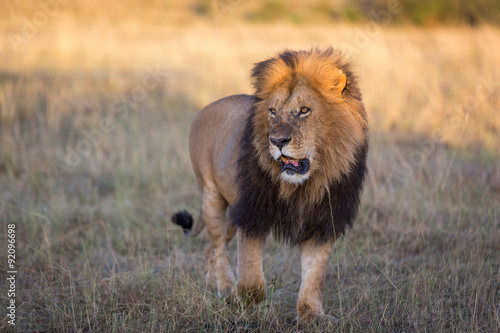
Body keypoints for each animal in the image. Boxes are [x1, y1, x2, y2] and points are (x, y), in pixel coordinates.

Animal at [172, 47, 368, 322]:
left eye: (304, 110)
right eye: (273, 111)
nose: (277, 141)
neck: (303, 185)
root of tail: (205, 108)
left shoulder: (323, 220)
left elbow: (314, 273)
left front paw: (312, 315)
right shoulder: (252, 212)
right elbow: (252, 275)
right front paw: (244, 298)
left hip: (231, 215)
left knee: (210, 248)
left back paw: (213, 286)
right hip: (212, 196)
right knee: (218, 247)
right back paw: (227, 289)